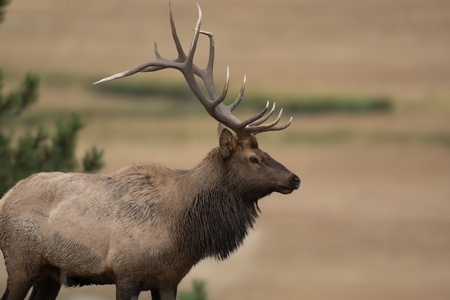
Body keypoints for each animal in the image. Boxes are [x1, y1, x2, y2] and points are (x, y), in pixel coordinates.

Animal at [2, 4, 302, 300]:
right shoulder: (126, 273)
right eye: (254, 158)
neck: (182, 235)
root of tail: (6, 196)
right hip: (20, 263)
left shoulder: (169, 279)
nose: (295, 178)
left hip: (50, 273)